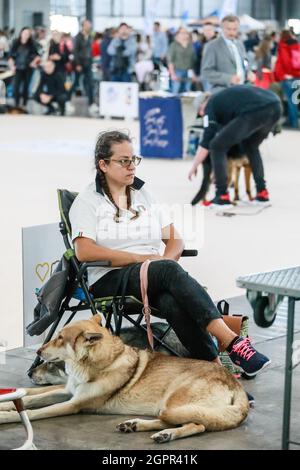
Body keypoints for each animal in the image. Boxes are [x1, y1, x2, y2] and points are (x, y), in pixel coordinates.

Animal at [0, 314, 248, 442]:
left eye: (60, 338)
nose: (38, 351)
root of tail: (236, 385)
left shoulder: (73, 404)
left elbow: (34, 411)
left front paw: (5, 415)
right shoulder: (68, 391)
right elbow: (31, 397)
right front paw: (8, 403)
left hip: (173, 404)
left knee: (198, 424)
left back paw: (165, 434)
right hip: (169, 408)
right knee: (182, 421)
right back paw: (136, 426)